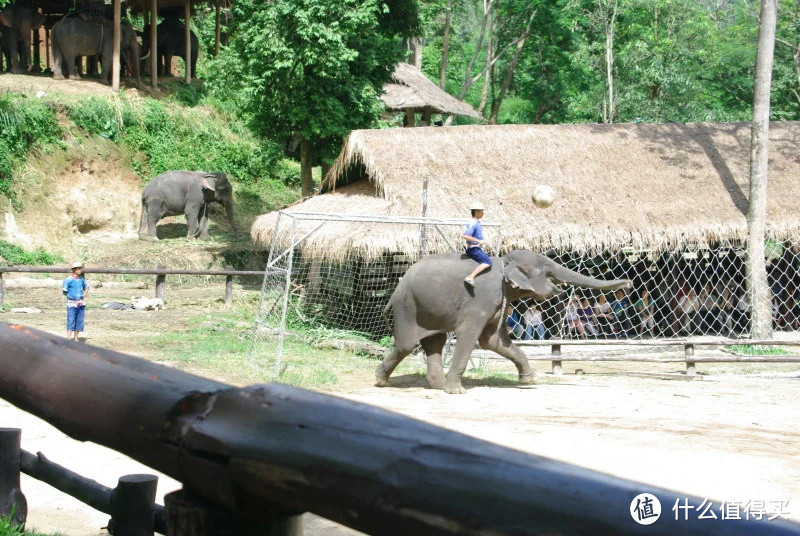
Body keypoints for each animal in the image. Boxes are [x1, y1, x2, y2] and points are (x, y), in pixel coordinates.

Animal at [378, 250, 636, 394]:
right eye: (547, 268)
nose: (629, 283)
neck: (505, 263)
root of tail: (396, 288)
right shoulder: (481, 298)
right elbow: (470, 334)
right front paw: (457, 392)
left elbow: (493, 340)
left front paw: (528, 380)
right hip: (408, 307)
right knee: (407, 345)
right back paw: (382, 381)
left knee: (435, 341)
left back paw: (435, 386)